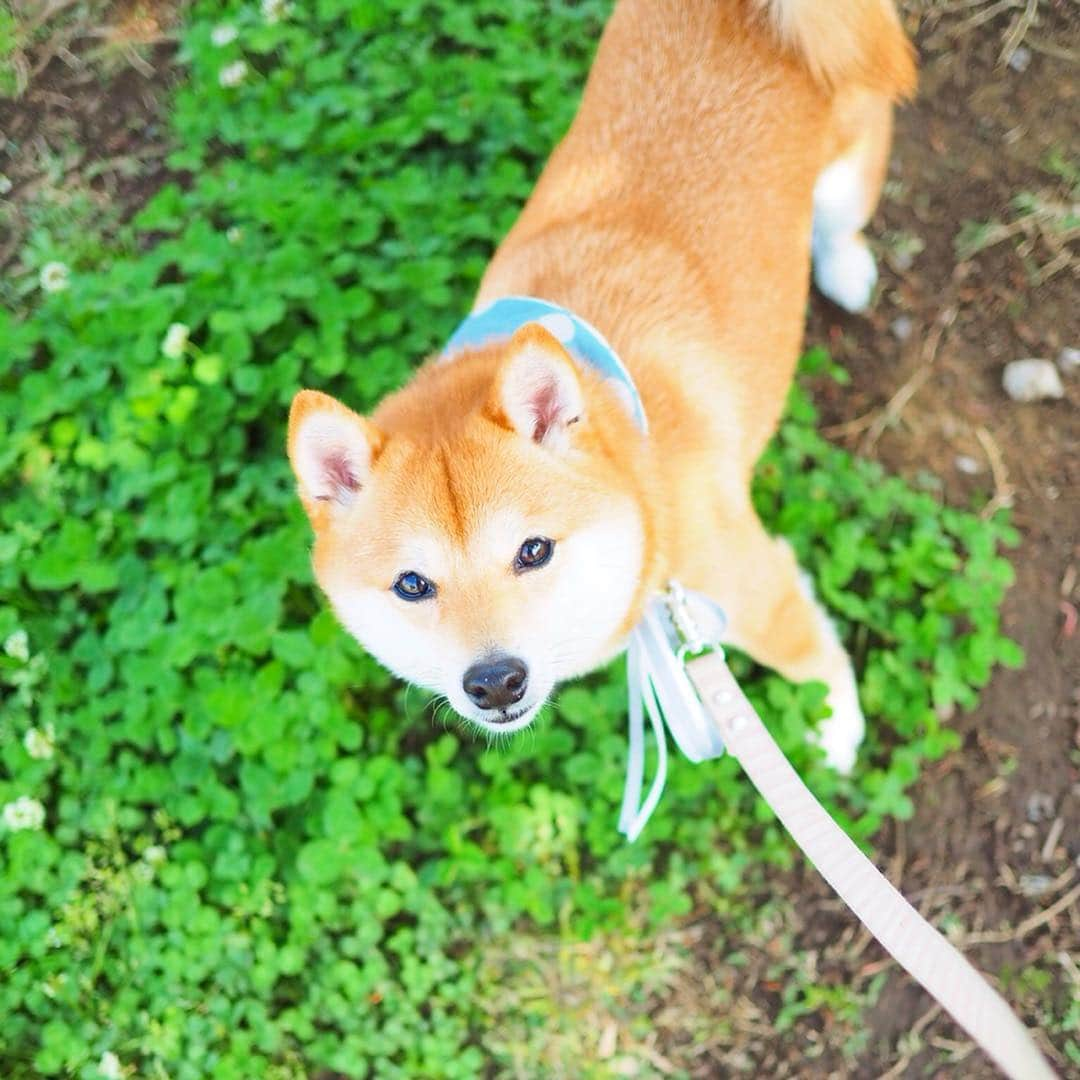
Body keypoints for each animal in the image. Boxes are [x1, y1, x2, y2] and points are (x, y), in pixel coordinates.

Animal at [287, 0, 911, 768]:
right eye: (412, 585)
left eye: (533, 551)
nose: (494, 681)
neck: (642, 472)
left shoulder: (750, 588)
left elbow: (812, 662)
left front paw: (836, 732)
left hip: (849, 167)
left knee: (838, 222)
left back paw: (844, 267)